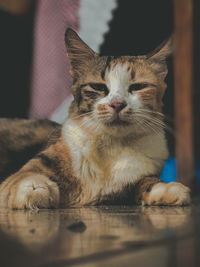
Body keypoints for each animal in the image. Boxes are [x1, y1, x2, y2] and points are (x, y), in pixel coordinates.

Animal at [0, 28, 191, 209]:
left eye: (138, 87)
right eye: (98, 87)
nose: (117, 104)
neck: (112, 147)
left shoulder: (134, 181)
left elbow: (147, 182)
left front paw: (167, 188)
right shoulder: (33, 167)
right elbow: (24, 176)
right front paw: (34, 189)